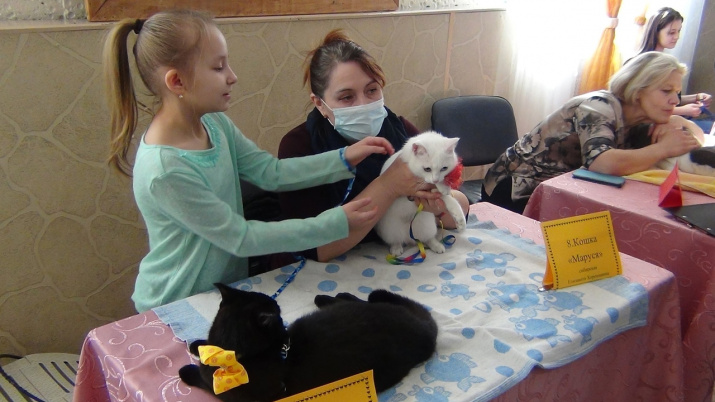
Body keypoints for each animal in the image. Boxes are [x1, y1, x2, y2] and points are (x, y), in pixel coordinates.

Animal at [179, 283, 438, 402]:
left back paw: (328, 297)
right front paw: (197, 345)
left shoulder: (226, 394)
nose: (284, 325)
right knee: (368, 299)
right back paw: (328, 297)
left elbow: (202, 381)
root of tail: (423, 331)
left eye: (280, 314)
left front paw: (186, 371)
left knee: (372, 298)